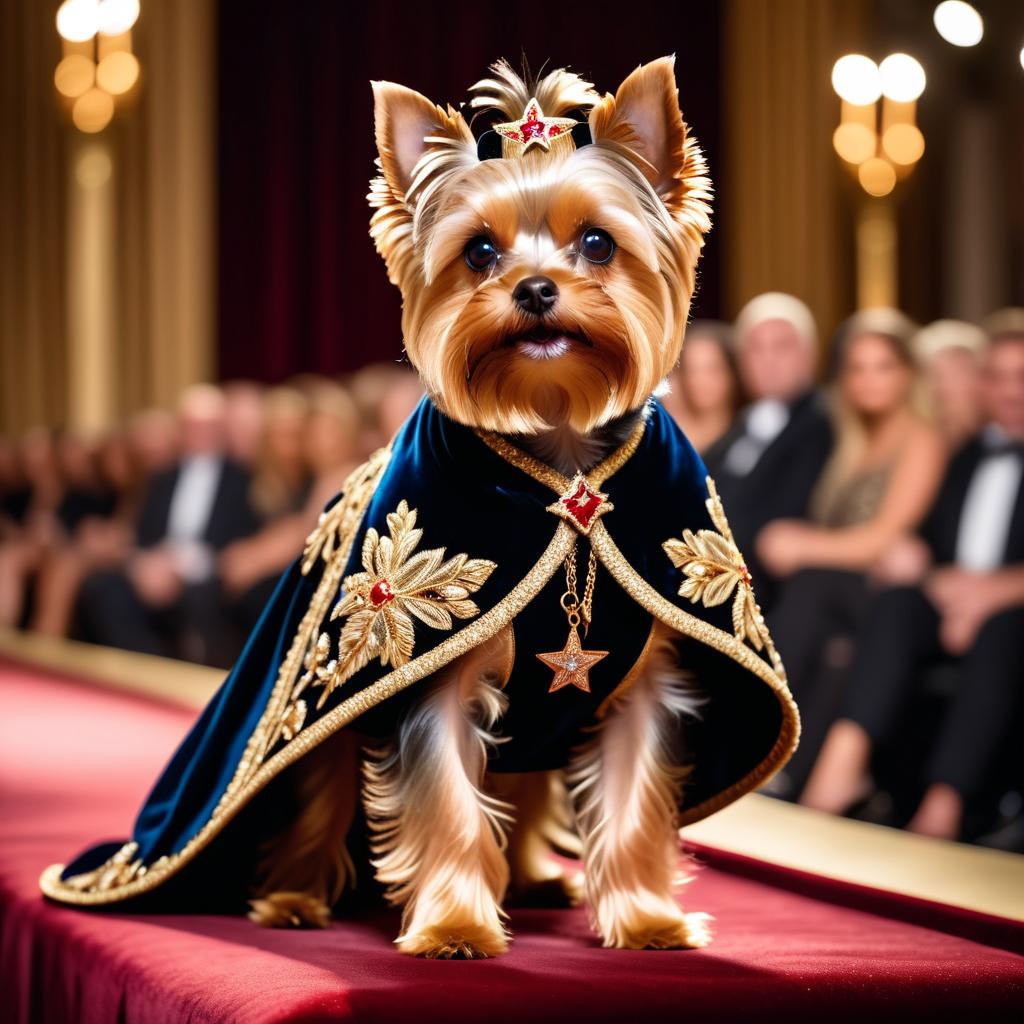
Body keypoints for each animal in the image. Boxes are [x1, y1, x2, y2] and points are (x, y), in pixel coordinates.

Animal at [246, 56, 712, 954]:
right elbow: (448, 804)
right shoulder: (429, 687)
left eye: (597, 242)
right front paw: (455, 926)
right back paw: (293, 898)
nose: (533, 289)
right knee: (319, 788)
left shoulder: (636, 687)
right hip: (322, 701)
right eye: (479, 251)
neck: (559, 461)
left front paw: (648, 922)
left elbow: (633, 799)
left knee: (525, 787)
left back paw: (535, 879)